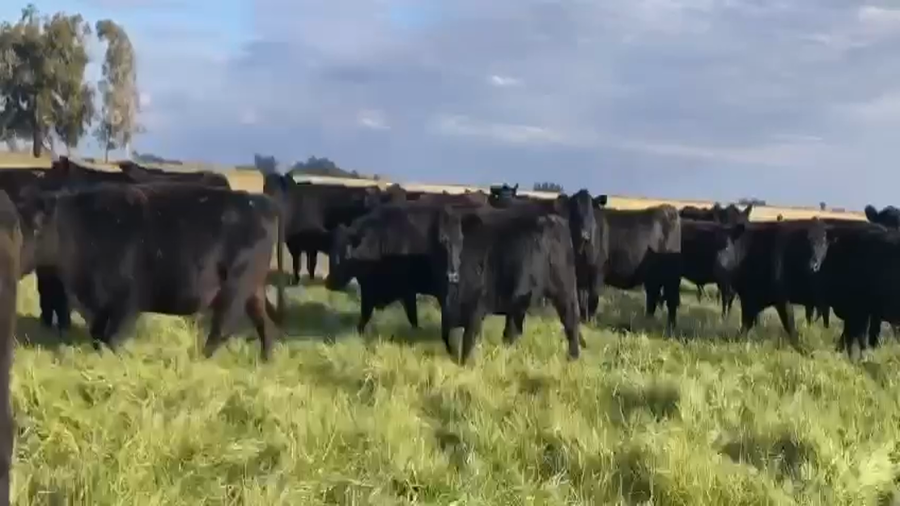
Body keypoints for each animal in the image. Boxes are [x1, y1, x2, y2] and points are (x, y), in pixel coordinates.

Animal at [18, 182, 286, 361]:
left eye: (37, 226)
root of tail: (261, 202)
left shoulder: (127, 303)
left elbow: (111, 339)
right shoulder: (100, 307)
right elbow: (98, 337)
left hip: (234, 290)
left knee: (221, 330)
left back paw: (199, 362)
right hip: (253, 291)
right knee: (264, 324)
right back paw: (265, 361)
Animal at [435, 205, 585, 365]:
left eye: (461, 241)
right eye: (443, 240)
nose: (452, 275)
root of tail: (555, 219)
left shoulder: (476, 307)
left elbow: (468, 339)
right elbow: (448, 336)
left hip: (564, 289)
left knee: (570, 319)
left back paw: (573, 357)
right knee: (513, 330)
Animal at [714, 219, 829, 349]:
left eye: (823, 244)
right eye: (716, 246)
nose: (814, 265)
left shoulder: (781, 298)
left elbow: (789, 323)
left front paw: (800, 346)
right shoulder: (748, 297)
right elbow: (747, 322)